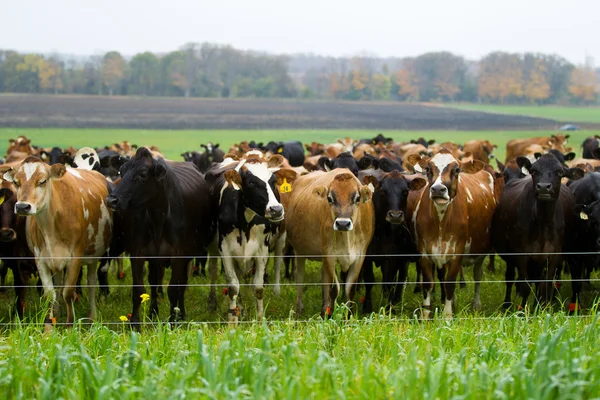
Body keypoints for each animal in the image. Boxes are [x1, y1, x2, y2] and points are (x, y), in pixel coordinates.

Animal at [1, 157, 112, 332]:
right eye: (17, 182)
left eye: (42, 181)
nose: (22, 206)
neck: (51, 224)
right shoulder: (40, 259)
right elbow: (50, 293)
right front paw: (49, 326)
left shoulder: (75, 258)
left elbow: (68, 293)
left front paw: (69, 327)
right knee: (58, 285)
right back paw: (57, 312)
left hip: (94, 256)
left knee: (91, 283)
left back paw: (91, 316)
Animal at [106, 146, 217, 322]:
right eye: (121, 172)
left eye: (143, 174)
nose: (112, 200)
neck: (158, 218)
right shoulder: (138, 253)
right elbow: (138, 290)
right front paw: (135, 322)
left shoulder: (180, 255)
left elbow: (174, 290)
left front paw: (173, 321)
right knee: (153, 282)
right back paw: (153, 312)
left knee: (182, 284)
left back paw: (181, 314)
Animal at [286, 169, 376, 316]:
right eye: (330, 199)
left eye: (357, 198)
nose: (343, 223)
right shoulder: (329, 255)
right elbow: (334, 289)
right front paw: (331, 316)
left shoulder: (360, 256)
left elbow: (349, 289)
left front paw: (348, 316)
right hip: (299, 252)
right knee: (299, 279)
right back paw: (299, 310)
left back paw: (324, 309)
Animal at [360, 171, 426, 312]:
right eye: (383, 191)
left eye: (405, 191)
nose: (395, 215)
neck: (381, 233)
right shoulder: (366, 257)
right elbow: (369, 280)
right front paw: (367, 307)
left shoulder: (392, 257)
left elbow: (390, 281)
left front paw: (389, 307)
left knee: (401, 277)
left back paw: (397, 299)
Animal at [490, 153, 584, 310]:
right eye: (533, 171)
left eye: (560, 172)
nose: (544, 187)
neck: (542, 223)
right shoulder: (521, 254)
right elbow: (525, 286)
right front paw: (522, 312)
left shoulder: (554, 256)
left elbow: (546, 286)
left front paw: (543, 309)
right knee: (510, 278)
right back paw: (507, 304)